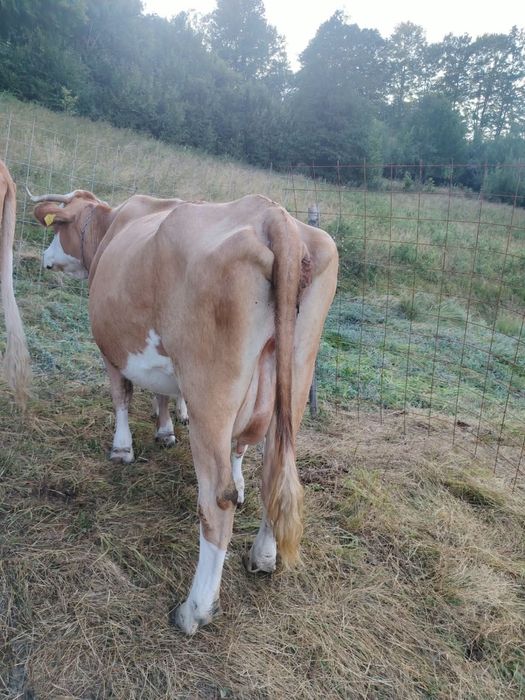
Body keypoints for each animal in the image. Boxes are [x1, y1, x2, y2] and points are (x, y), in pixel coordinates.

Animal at [30, 187, 338, 634]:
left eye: (59, 229)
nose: (45, 256)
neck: (112, 228)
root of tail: (273, 216)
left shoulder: (111, 348)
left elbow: (122, 394)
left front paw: (123, 448)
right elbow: (169, 399)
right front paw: (166, 429)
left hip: (211, 385)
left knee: (217, 501)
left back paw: (195, 609)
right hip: (296, 372)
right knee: (274, 471)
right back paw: (263, 557)